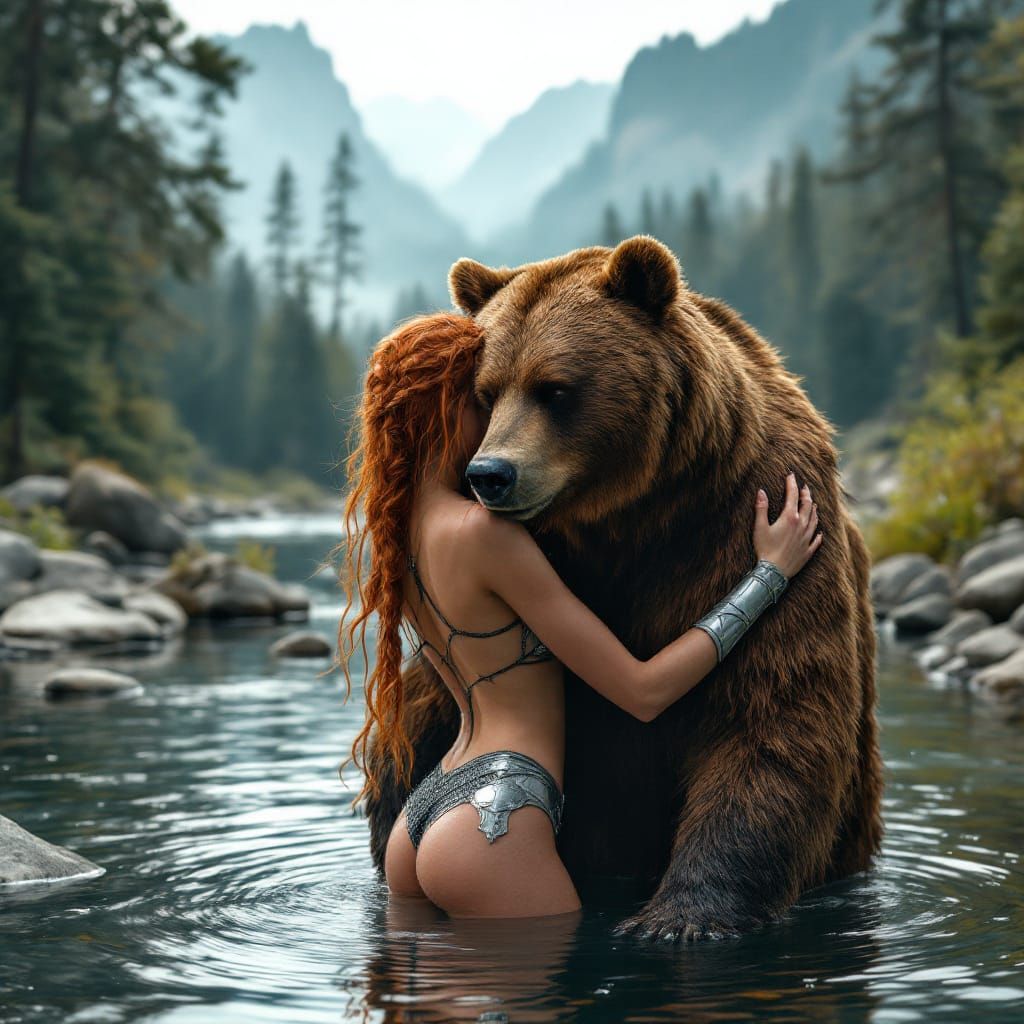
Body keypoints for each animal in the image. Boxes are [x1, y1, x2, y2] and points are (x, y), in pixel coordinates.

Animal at [363, 235, 883, 940]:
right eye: (488, 391)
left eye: (554, 388)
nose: (490, 475)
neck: (626, 519)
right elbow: (421, 717)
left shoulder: (744, 513)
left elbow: (769, 712)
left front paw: (681, 916)